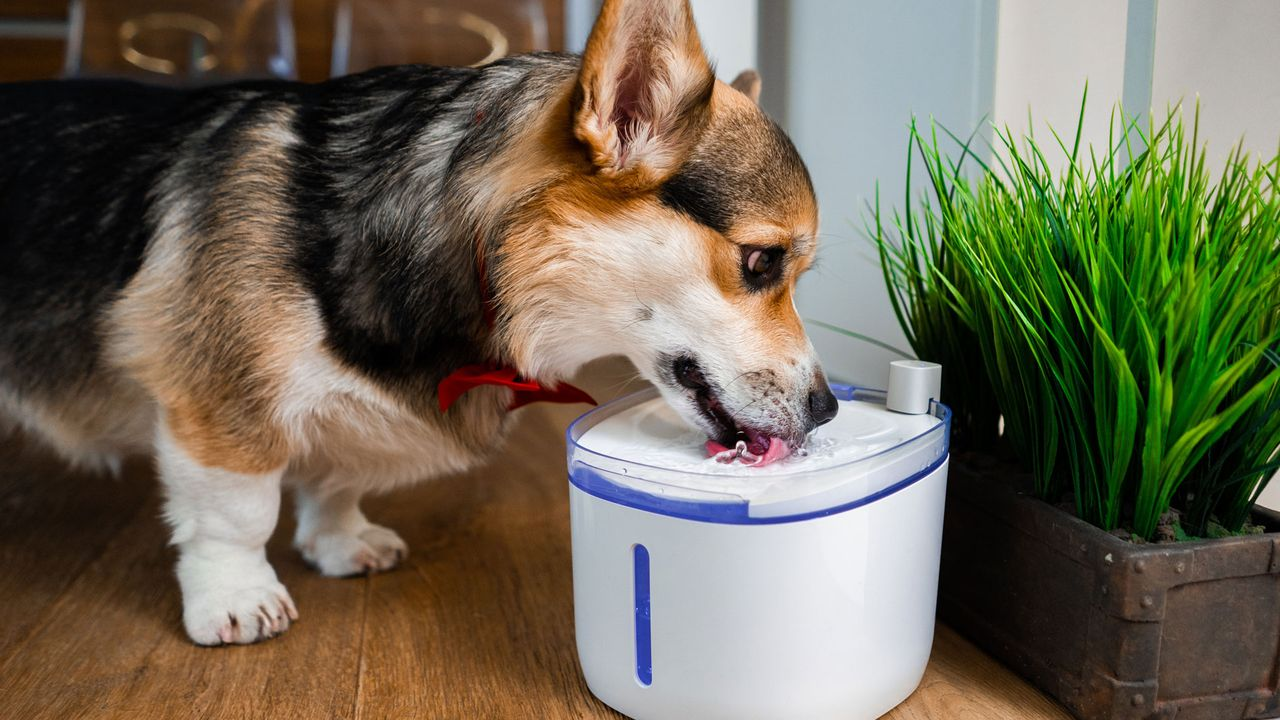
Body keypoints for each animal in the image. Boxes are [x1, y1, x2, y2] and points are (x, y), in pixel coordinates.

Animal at [0, 0, 836, 645]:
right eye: (761, 261)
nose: (829, 409)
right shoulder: (218, 394)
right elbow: (237, 511)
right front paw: (237, 598)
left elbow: (334, 476)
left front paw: (340, 540)